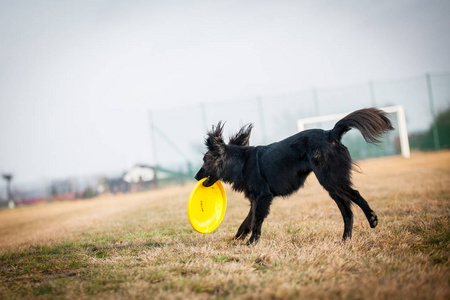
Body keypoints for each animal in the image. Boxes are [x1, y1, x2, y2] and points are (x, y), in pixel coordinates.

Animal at [195, 108, 392, 244]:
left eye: (205, 160)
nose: (196, 177)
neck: (241, 161)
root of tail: (330, 133)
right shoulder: (255, 199)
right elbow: (247, 221)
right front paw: (237, 239)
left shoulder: (263, 197)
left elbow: (256, 221)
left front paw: (251, 242)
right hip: (332, 187)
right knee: (347, 211)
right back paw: (345, 239)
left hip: (331, 180)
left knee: (355, 196)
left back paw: (372, 219)